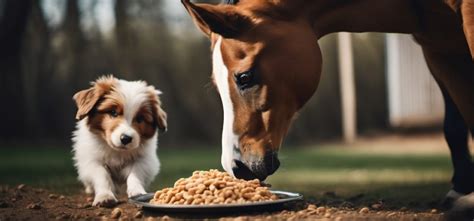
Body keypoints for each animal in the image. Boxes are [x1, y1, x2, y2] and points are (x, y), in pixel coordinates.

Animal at [70, 76, 167, 207]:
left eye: (140, 118)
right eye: (113, 113)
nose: (126, 138)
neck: (117, 151)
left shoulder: (145, 160)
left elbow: (135, 173)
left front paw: (137, 192)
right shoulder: (92, 160)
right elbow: (102, 175)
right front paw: (105, 196)